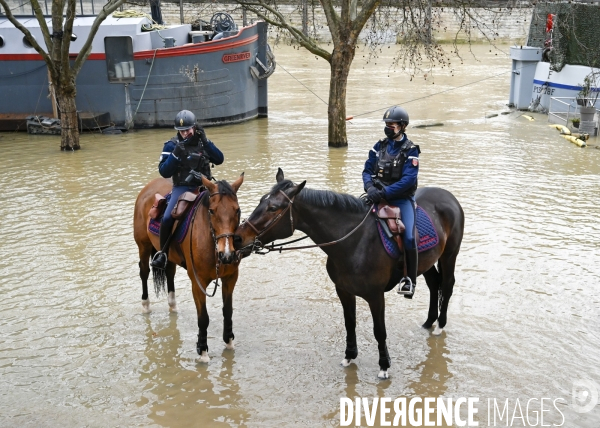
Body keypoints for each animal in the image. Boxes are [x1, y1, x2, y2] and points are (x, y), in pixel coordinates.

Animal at [134, 174, 244, 362]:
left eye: (237, 210)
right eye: (212, 211)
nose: (227, 255)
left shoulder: (230, 278)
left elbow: (228, 311)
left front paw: (229, 341)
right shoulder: (197, 283)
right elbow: (203, 318)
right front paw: (202, 351)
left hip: (168, 253)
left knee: (169, 272)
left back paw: (172, 305)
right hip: (143, 245)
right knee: (144, 272)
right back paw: (146, 305)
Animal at [234, 169, 464, 380]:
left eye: (273, 208)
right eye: (261, 201)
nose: (237, 238)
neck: (354, 241)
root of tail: (447, 195)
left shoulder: (375, 296)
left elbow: (379, 330)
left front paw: (384, 365)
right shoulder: (343, 290)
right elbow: (349, 323)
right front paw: (349, 356)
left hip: (449, 255)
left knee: (447, 284)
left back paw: (440, 324)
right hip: (427, 261)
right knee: (434, 284)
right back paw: (429, 322)